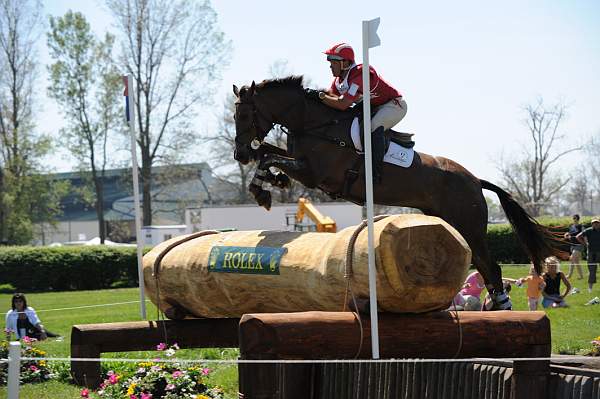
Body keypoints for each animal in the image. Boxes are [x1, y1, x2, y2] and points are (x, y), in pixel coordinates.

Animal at [232, 76, 564, 312]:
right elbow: (268, 154)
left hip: (470, 225)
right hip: (454, 224)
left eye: (245, 115)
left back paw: (501, 308)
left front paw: (264, 190)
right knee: (483, 267)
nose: (239, 155)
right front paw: (265, 185)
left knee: (490, 266)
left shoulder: (315, 174)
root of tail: (474, 180)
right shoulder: (299, 161)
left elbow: (269, 157)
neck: (314, 123)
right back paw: (495, 306)